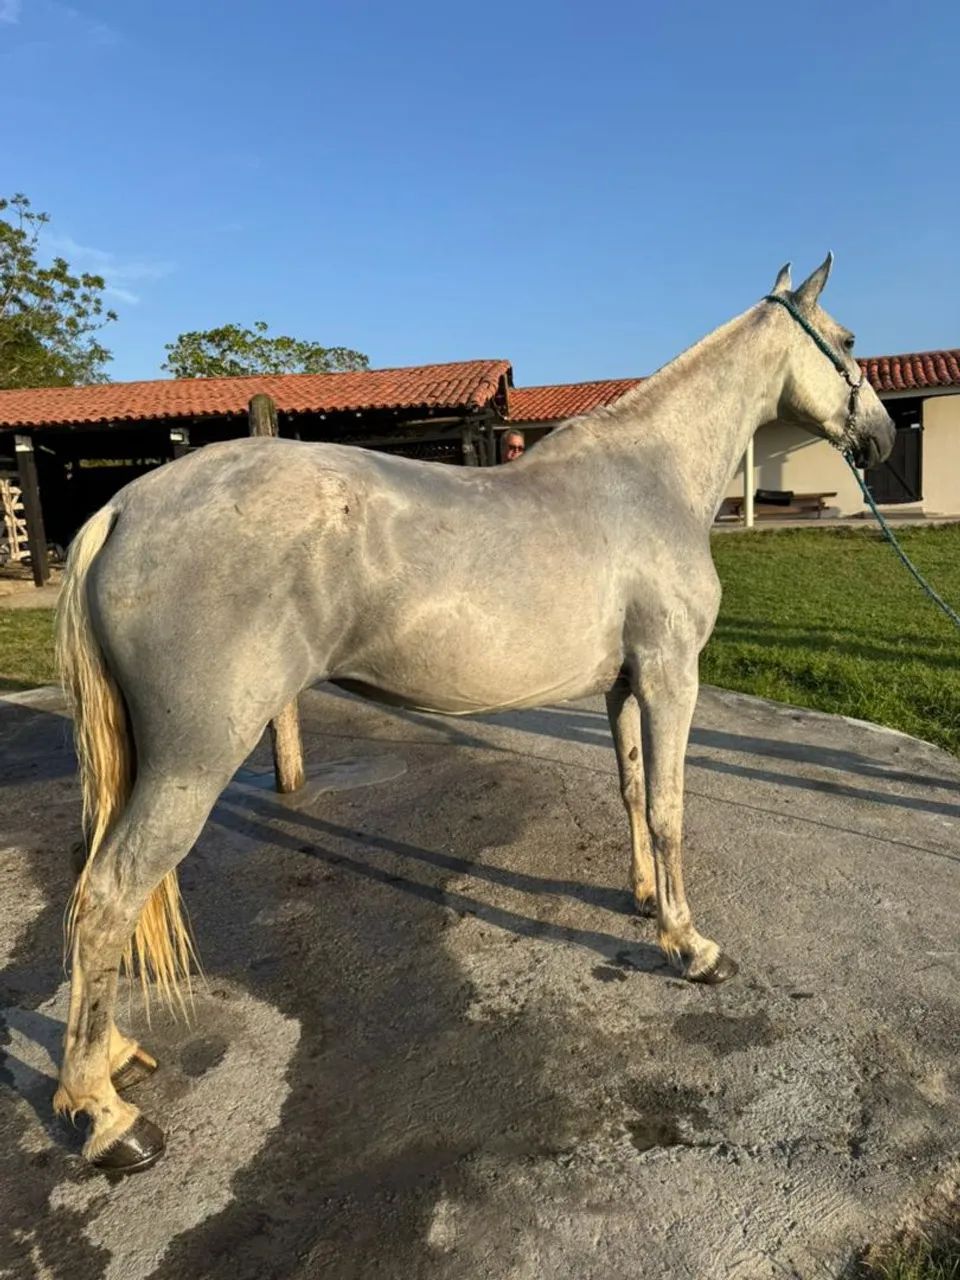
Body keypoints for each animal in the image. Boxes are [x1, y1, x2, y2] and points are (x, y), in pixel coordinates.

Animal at [52, 256, 895, 1173]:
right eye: (850, 340)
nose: (883, 440)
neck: (649, 482)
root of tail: (123, 509)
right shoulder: (672, 674)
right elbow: (671, 808)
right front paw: (690, 946)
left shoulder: (624, 683)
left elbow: (633, 792)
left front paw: (642, 900)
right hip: (193, 760)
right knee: (109, 897)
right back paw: (109, 1120)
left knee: (99, 890)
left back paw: (111, 1062)